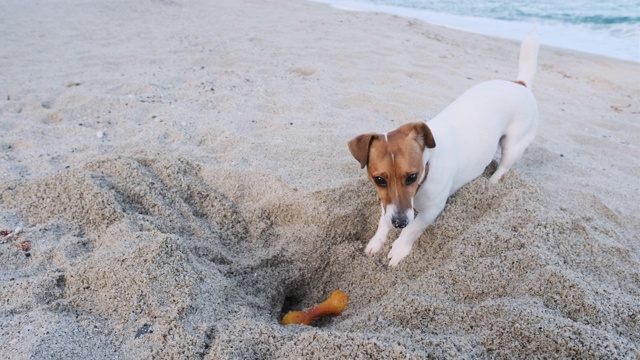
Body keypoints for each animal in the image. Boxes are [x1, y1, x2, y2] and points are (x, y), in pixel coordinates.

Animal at [350, 29, 540, 266]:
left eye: (412, 176)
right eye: (379, 180)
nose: (399, 223)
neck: (428, 166)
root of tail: (519, 83)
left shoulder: (432, 211)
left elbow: (413, 229)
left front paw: (400, 248)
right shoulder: (388, 203)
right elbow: (383, 220)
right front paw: (377, 240)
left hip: (513, 145)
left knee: (504, 166)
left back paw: (491, 183)